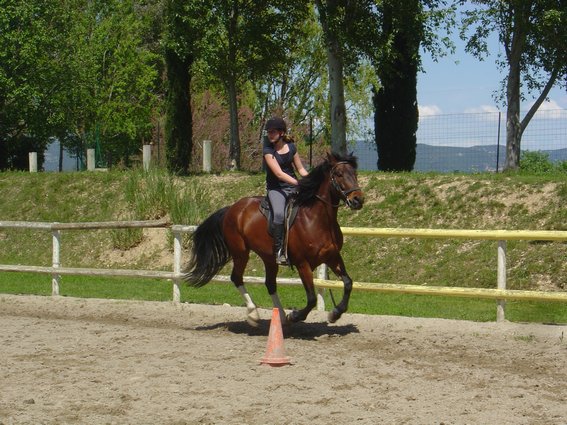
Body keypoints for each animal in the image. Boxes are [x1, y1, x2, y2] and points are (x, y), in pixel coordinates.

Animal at [184, 152, 366, 324]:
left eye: (354, 173)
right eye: (339, 174)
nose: (358, 199)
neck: (317, 219)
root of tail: (231, 209)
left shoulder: (332, 256)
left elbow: (348, 283)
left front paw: (335, 313)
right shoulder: (302, 263)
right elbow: (312, 298)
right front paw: (295, 315)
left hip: (269, 258)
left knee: (270, 283)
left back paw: (281, 317)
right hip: (240, 252)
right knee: (236, 278)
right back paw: (254, 314)